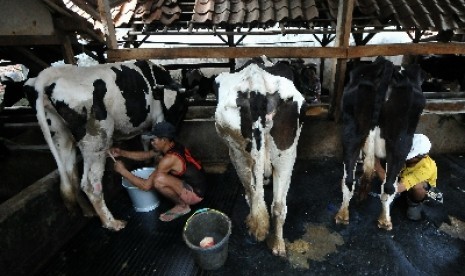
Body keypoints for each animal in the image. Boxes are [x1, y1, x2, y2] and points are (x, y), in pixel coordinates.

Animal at [24, 59, 188, 231]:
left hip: (61, 136)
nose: (174, 131)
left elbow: (144, 139)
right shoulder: (158, 116)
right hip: (97, 138)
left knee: (71, 177)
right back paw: (112, 222)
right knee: (90, 184)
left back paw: (88, 211)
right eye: (181, 107)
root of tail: (49, 75)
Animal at [214, 58, 308, 256]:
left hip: (237, 151)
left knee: (252, 193)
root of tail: (256, 84)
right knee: (278, 206)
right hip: (286, 152)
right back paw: (278, 245)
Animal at [334, 56, 424, 231]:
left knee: (348, 179)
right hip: (401, 140)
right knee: (389, 186)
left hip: (352, 130)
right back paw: (385, 221)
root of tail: (388, 65)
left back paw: (342, 215)